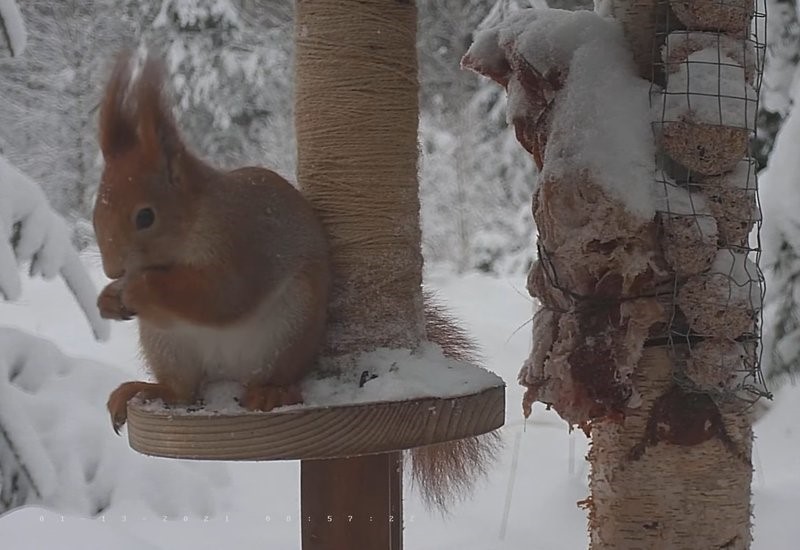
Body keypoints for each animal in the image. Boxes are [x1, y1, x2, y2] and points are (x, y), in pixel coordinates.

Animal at [95, 51, 330, 434]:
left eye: (145, 217)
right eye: (95, 209)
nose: (112, 269)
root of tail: (224, 375)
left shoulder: (242, 242)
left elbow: (222, 296)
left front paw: (138, 289)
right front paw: (109, 299)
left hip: (289, 327)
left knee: (270, 374)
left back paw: (271, 392)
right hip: (168, 344)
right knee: (182, 391)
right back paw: (147, 389)